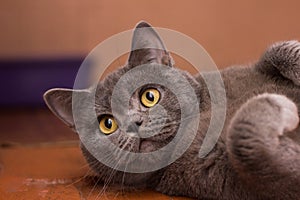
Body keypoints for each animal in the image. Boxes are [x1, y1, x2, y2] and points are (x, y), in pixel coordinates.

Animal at [43, 21, 300, 199]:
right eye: (107, 124)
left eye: (149, 96)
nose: (135, 123)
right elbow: (246, 139)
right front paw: (280, 105)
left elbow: (276, 51)